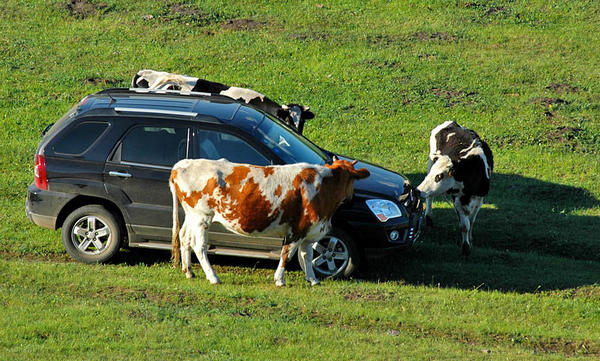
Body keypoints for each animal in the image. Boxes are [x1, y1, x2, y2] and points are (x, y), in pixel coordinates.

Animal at [166, 156, 368, 286]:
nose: (354, 198)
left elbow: (307, 255)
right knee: (199, 246)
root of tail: (181, 165)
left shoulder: (311, 231)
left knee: (184, 238)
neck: (324, 188)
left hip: (191, 216)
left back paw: (189, 271)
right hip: (201, 217)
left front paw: (313, 280)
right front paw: (279, 280)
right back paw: (213, 277)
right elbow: (287, 254)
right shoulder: (297, 229)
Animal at [414, 119, 494, 255]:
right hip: (430, 162)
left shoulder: (479, 199)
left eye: (439, 176)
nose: (417, 191)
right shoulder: (457, 200)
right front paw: (465, 247)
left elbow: (471, 221)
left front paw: (470, 239)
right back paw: (429, 218)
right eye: (435, 175)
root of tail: (451, 122)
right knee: (429, 198)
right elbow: (464, 225)